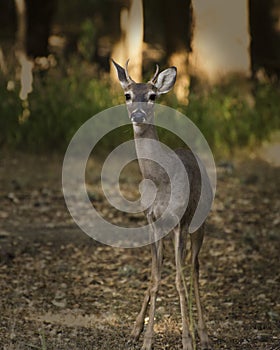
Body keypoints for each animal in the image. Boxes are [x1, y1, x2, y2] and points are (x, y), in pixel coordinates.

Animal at [112, 60, 212, 350]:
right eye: (128, 95)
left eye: (153, 96)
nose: (138, 115)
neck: (160, 179)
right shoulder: (152, 220)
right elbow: (155, 277)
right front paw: (145, 338)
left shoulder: (180, 221)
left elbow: (179, 281)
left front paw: (187, 339)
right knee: (165, 266)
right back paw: (135, 330)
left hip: (199, 223)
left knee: (194, 269)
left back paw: (202, 333)